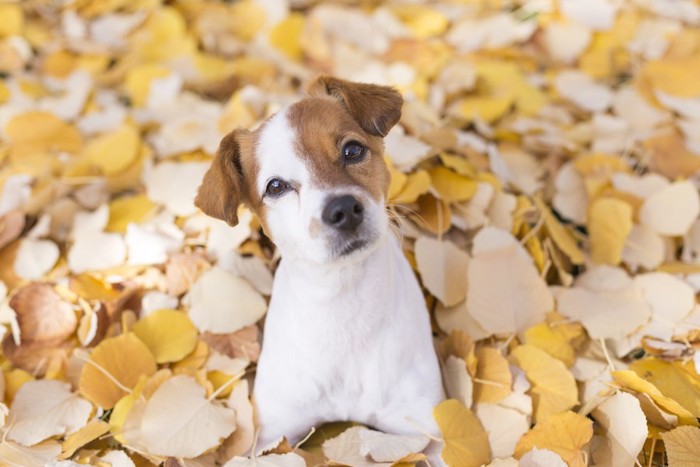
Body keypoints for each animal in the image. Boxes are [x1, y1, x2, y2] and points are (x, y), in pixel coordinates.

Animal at [193, 76, 442, 460]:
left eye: (352, 150)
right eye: (276, 186)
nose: (343, 209)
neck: (342, 302)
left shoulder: (428, 432)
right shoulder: (270, 437)